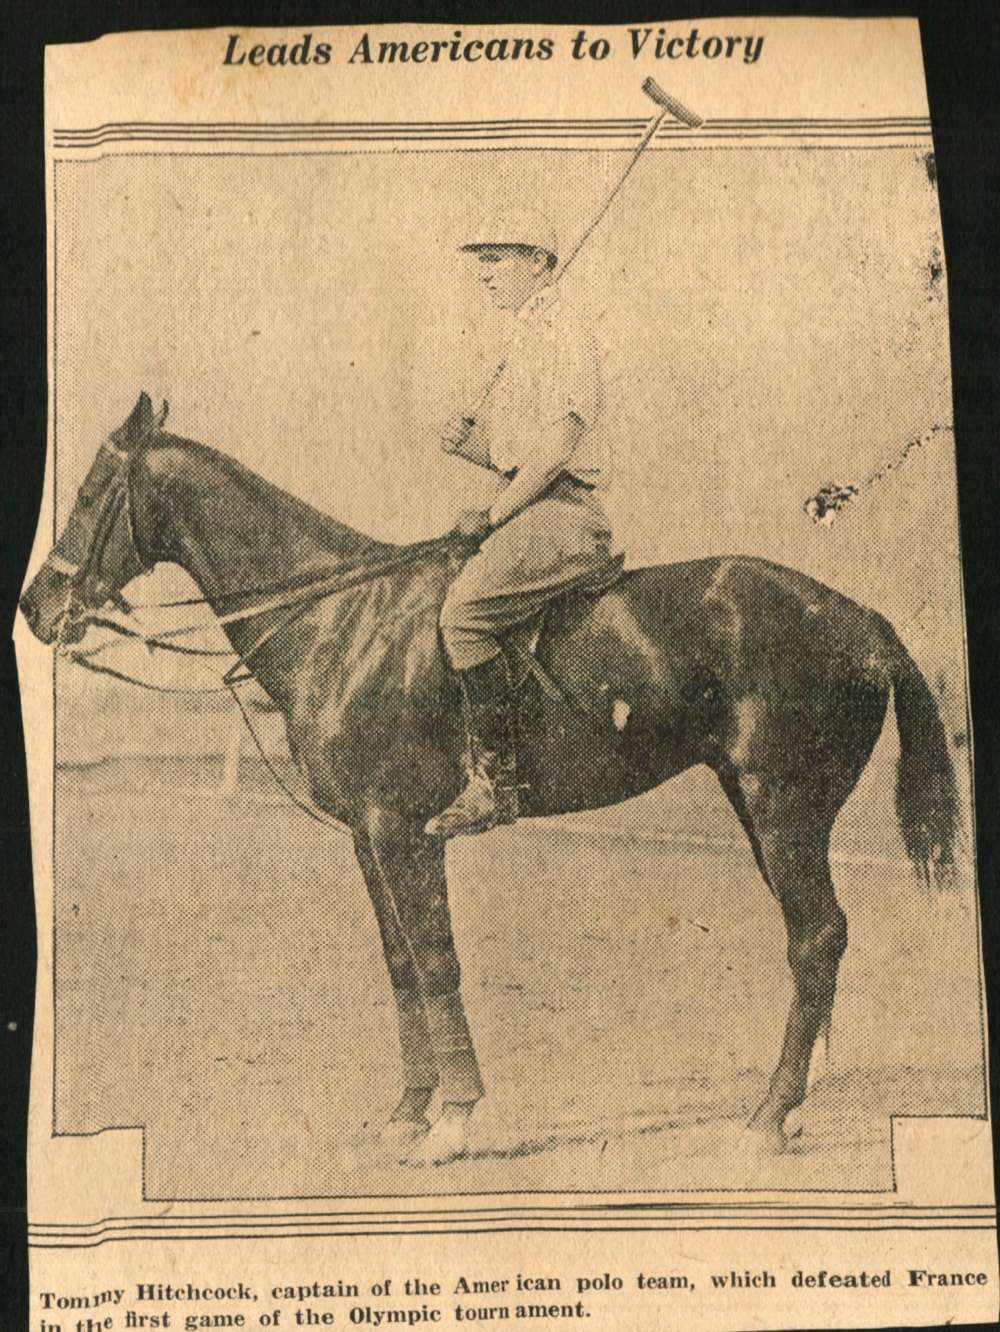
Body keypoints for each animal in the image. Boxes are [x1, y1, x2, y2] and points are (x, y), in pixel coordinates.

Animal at [21, 391, 964, 1166]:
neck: (339, 619)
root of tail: (862, 618)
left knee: (818, 937)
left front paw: (455, 1120)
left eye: (92, 490)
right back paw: (792, 1105)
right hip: (760, 809)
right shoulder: (367, 837)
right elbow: (401, 965)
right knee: (814, 942)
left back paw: (769, 1117)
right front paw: (407, 1112)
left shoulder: (402, 829)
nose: (36, 609)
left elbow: (438, 962)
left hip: (784, 809)